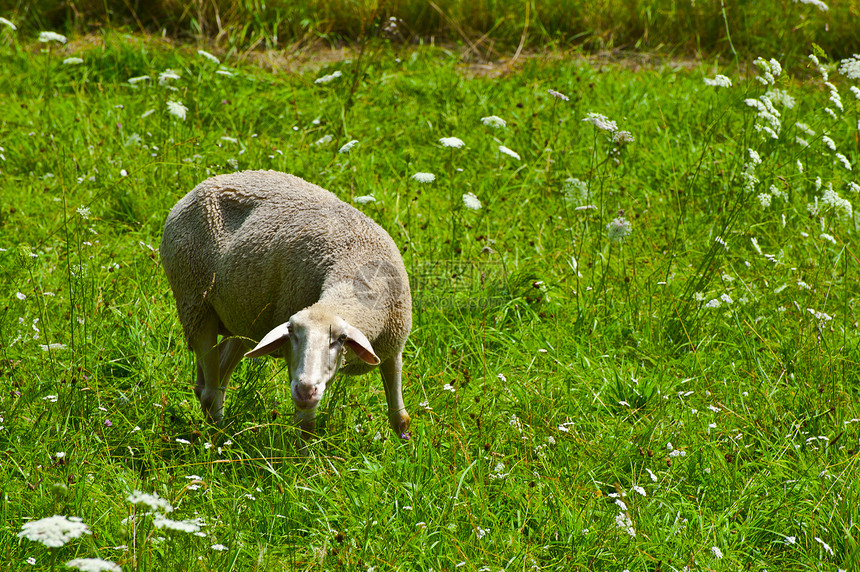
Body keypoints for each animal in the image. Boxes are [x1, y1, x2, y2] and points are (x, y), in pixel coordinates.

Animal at [159, 169, 414, 438]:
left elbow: (400, 418)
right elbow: (306, 426)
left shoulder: (393, 348)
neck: (354, 267)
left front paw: (405, 444)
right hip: (194, 302)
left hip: (243, 318)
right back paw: (219, 439)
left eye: (341, 339)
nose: (305, 390)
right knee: (209, 391)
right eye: (292, 334)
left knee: (216, 379)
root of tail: (203, 185)